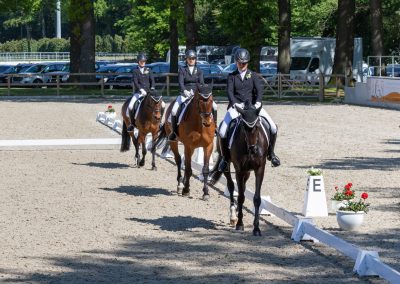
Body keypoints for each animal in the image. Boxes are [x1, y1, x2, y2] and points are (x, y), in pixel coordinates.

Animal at [209, 104, 268, 235]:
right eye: (244, 127)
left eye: (257, 126)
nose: (253, 149)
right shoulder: (239, 170)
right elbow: (240, 197)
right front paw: (240, 224)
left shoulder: (259, 169)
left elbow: (256, 198)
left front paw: (256, 228)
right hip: (227, 165)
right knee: (231, 186)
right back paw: (233, 216)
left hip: (247, 172)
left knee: (243, 187)